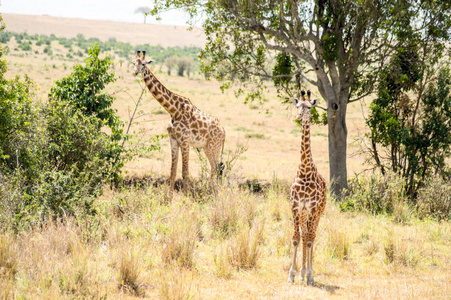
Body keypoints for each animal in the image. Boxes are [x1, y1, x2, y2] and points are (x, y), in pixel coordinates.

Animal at [133, 49, 226, 197]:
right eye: (133, 63)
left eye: (143, 64)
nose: (135, 72)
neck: (173, 110)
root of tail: (224, 132)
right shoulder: (173, 140)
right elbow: (173, 172)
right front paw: (168, 199)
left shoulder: (185, 141)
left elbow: (185, 172)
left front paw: (186, 198)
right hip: (206, 147)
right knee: (215, 168)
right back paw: (212, 193)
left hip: (214, 147)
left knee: (216, 169)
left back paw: (213, 194)